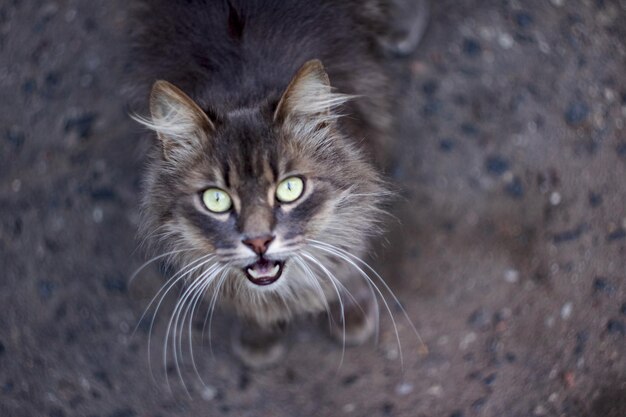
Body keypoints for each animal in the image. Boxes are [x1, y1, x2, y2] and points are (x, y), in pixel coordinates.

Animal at [129, 0, 426, 368]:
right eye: (216, 199)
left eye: (290, 188)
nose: (258, 242)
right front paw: (259, 335)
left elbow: (346, 259)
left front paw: (351, 309)